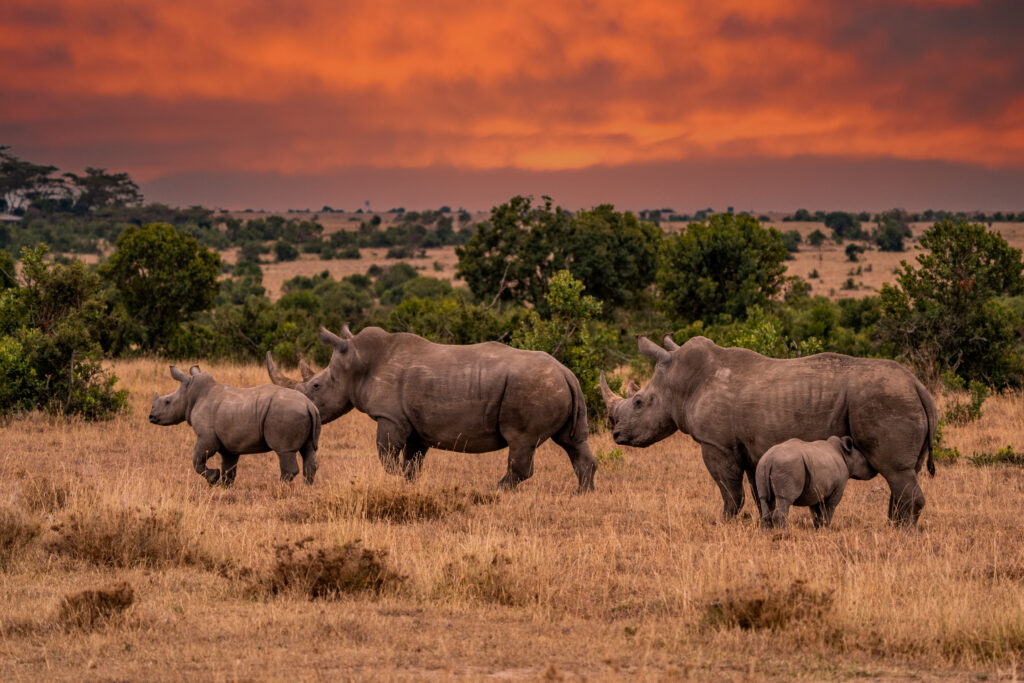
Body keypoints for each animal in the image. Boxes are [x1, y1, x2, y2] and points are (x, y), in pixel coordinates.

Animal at [149, 368, 319, 485]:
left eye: (167, 402)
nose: (151, 417)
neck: (191, 394)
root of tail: (309, 405)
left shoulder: (206, 437)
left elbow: (197, 460)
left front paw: (213, 478)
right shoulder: (229, 443)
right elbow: (229, 468)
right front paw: (225, 486)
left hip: (286, 413)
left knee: (284, 451)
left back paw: (281, 488)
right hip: (303, 413)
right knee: (308, 451)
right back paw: (306, 488)